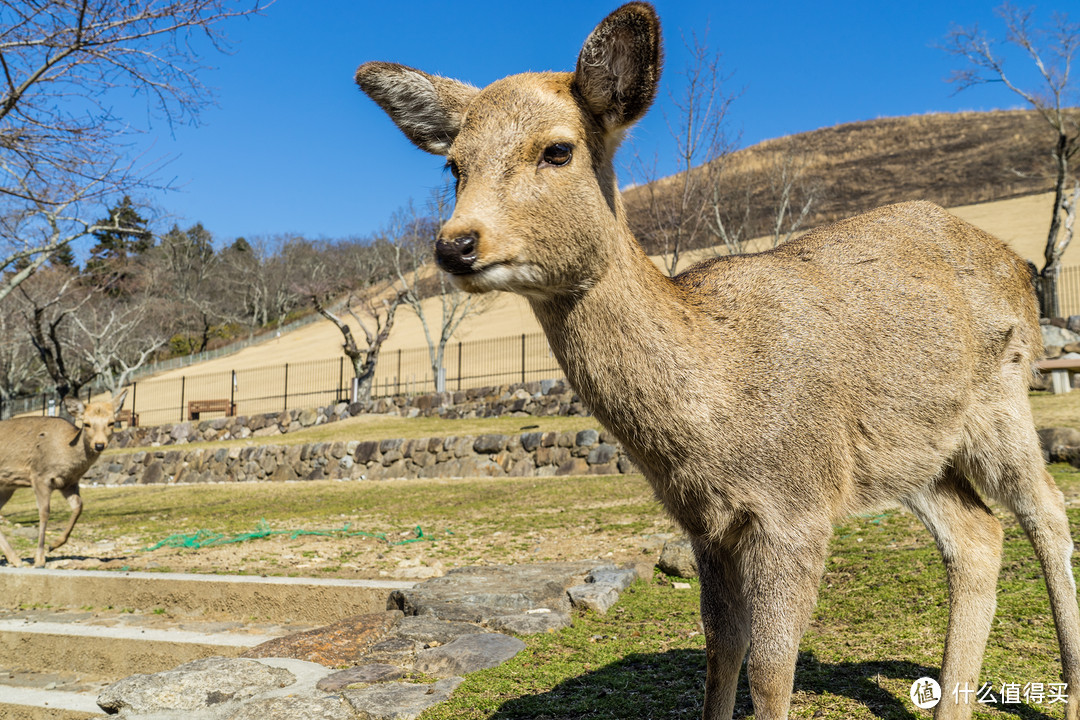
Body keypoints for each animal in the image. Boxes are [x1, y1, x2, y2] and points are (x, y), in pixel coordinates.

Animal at [0, 390, 127, 569]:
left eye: (111, 423)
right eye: (86, 423)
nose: (99, 445)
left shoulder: (69, 483)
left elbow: (79, 506)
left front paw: (54, 545)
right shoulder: (39, 476)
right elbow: (44, 513)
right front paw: (40, 559)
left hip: (7, 486)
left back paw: (16, 559)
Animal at [356, 2, 1080, 716]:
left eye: (557, 149)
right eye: (454, 166)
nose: (456, 245)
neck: (713, 421)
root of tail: (1018, 265)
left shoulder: (798, 505)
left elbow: (771, 667)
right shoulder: (704, 523)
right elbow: (720, 647)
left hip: (1002, 395)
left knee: (1044, 512)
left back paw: (1068, 691)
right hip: (913, 453)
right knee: (977, 537)